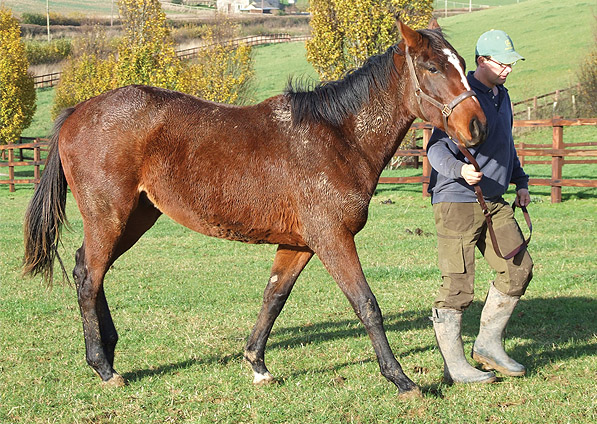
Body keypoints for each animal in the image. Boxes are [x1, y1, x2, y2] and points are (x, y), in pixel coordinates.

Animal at [24, 19, 484, 398]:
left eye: (462, 63)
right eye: (430, 67)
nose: (476, 125)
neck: (337, 138)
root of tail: (77, 112)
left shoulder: (300, 244)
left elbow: (274, 296)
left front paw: (257, 364)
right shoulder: (333, 239)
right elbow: (366, 304)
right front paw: (401, 379)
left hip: (135, 217)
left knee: (91, 270)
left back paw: (110, 352)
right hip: (109, 216)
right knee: (89, 276)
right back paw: (103, 368)